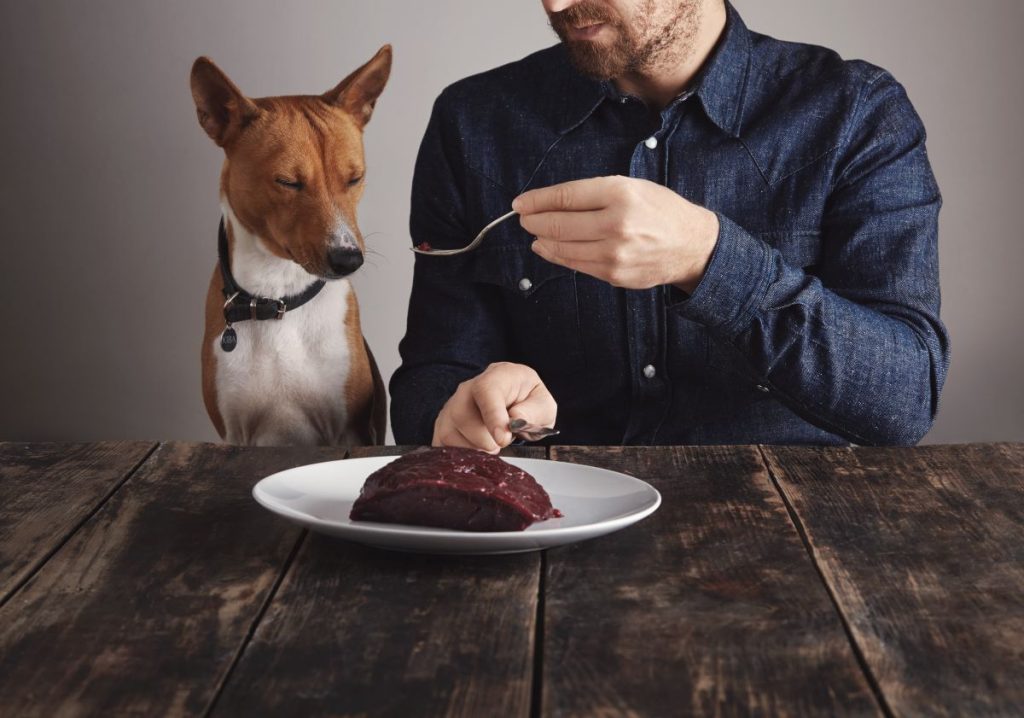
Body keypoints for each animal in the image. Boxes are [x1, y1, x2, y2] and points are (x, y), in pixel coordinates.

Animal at [190, 44, 389, 444]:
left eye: (355, 178)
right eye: (288, 182)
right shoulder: (234, 433)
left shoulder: (349, 430)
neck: (277, 297)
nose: (348, 259)